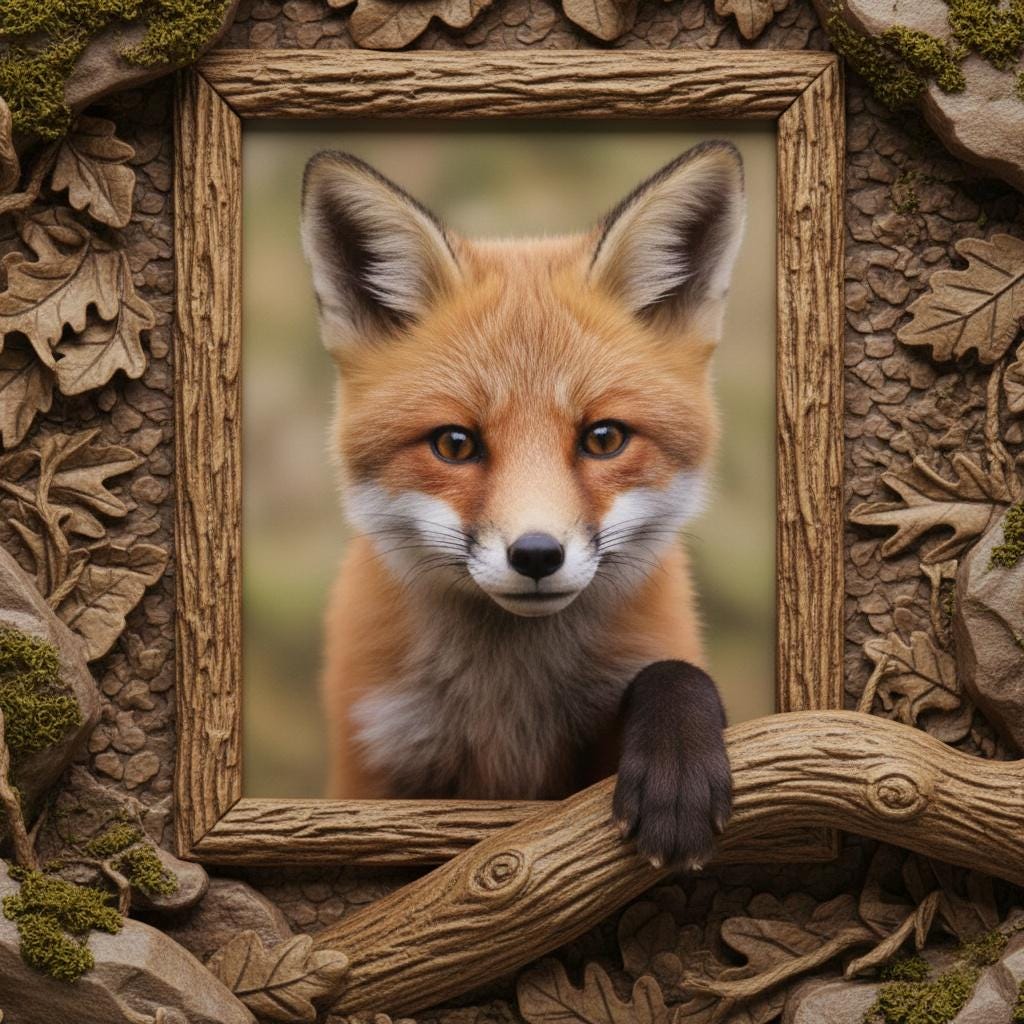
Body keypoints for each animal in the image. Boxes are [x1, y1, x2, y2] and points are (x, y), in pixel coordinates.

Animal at [299, 141, 746, 868]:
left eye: (604, 438)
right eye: (455, 443)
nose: (536, 555)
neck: (510, 709)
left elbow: (675, 674)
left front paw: (676, 772)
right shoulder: (377, 762)